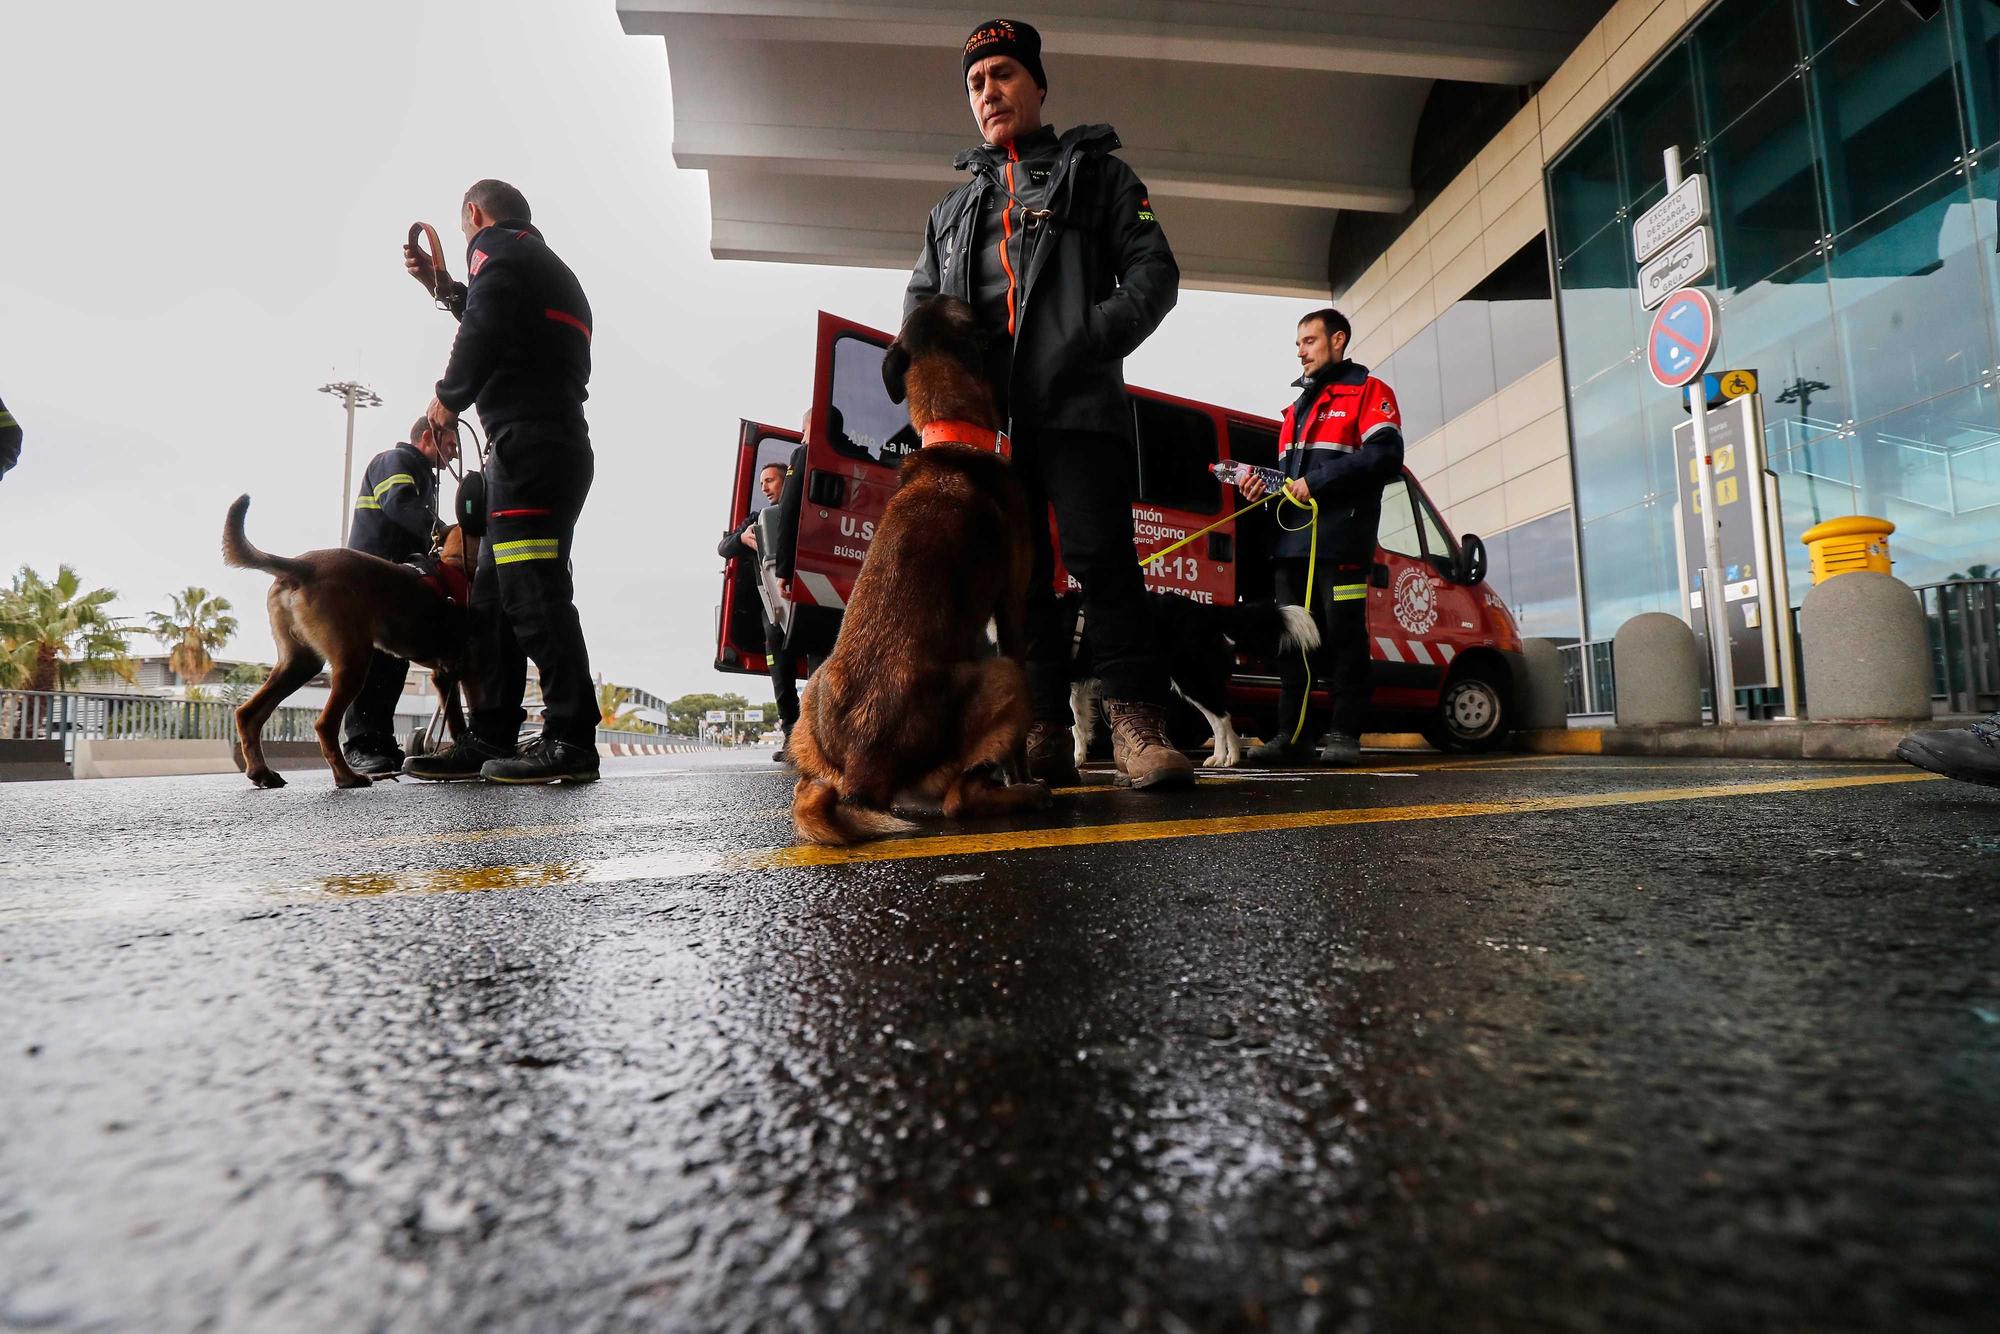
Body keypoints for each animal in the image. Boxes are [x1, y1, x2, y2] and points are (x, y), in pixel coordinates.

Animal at [222, 494, 480, 788]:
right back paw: (347, 777)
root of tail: (303, 566)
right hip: (354, 663)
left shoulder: (445, 675)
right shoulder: (466, 671)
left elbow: (456, 719)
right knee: (325, 725)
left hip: (300, 664)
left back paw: (261, 772)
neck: (457, 565)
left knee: (248, 714)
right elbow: (466, 716)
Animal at [788, 298, 1056, 852]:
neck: (952, 431)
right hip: (1007, 675)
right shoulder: (1010, 608)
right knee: (959, 800)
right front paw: (1021, 774)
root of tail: (864, 773)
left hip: (812, 701)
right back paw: (1026, 794)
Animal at [1072, 596, 1320, 772]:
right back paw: (1231, 758)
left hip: (1190, 678)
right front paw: (1079, 756)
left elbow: (1074, 724)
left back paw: (1218, 757)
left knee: (1219, 720)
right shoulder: (1076, 687)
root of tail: (1202, 610)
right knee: (1225, 716)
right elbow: (1078, 725)